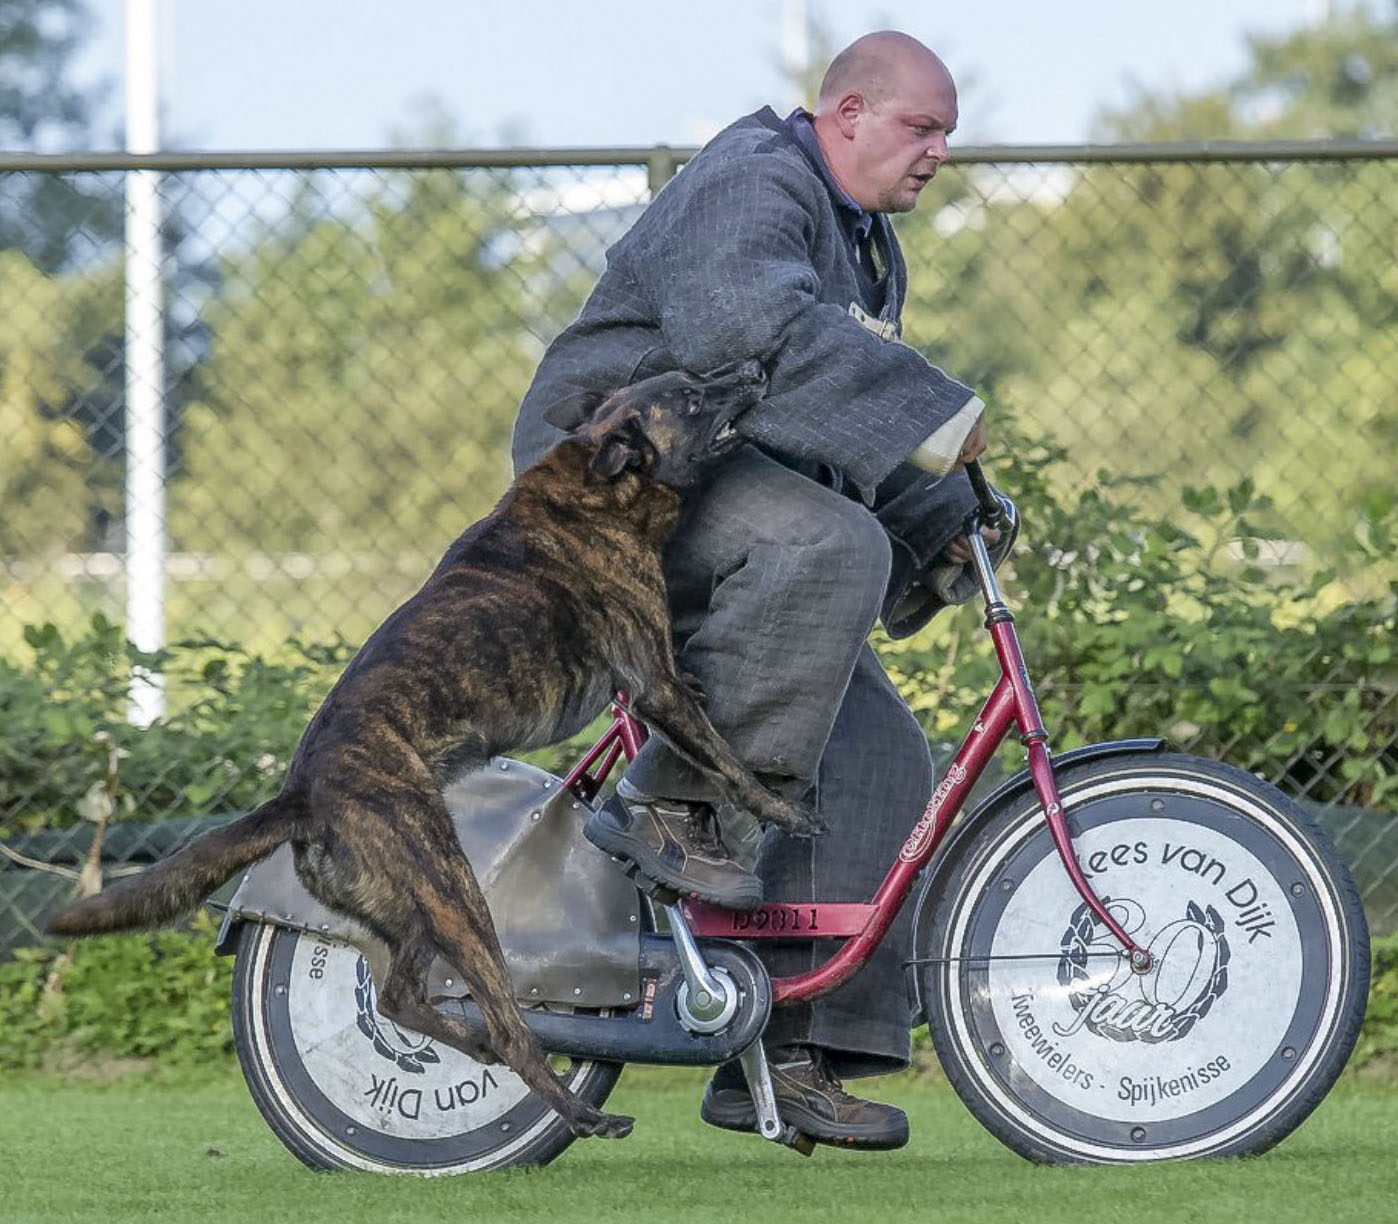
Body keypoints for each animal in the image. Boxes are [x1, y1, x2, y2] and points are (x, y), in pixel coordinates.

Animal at [49, 360, 816, 1140]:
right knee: (505, 1024)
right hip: (453, 890)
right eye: (690, 397)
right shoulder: (654, 682)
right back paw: (577, 1112)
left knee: (400, 998)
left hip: (408, 910)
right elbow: (726, 758)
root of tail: (301, 796)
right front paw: (783, 809)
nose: (753, 368)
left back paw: (469, 1043)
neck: (595, 491)